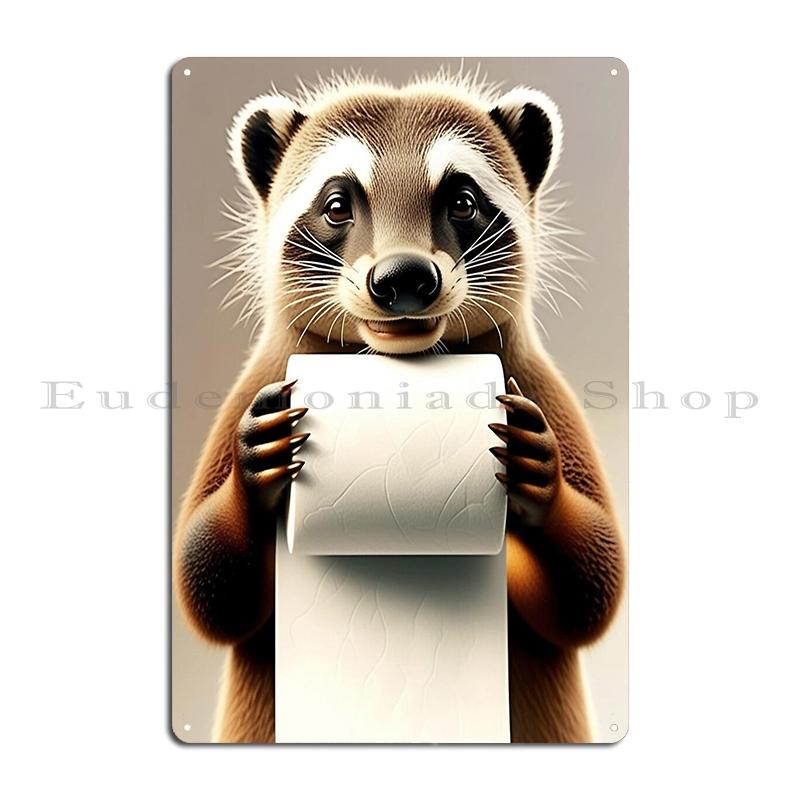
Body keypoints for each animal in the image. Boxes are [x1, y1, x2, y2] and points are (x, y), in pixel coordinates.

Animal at [174, 72, 625, 743]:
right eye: (338, 205)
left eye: (462, 201)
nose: (404, 277)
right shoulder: (256, 386)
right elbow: (210, 589)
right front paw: (249, 477)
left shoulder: (542, 392)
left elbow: (590, 590)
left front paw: (542, 484)